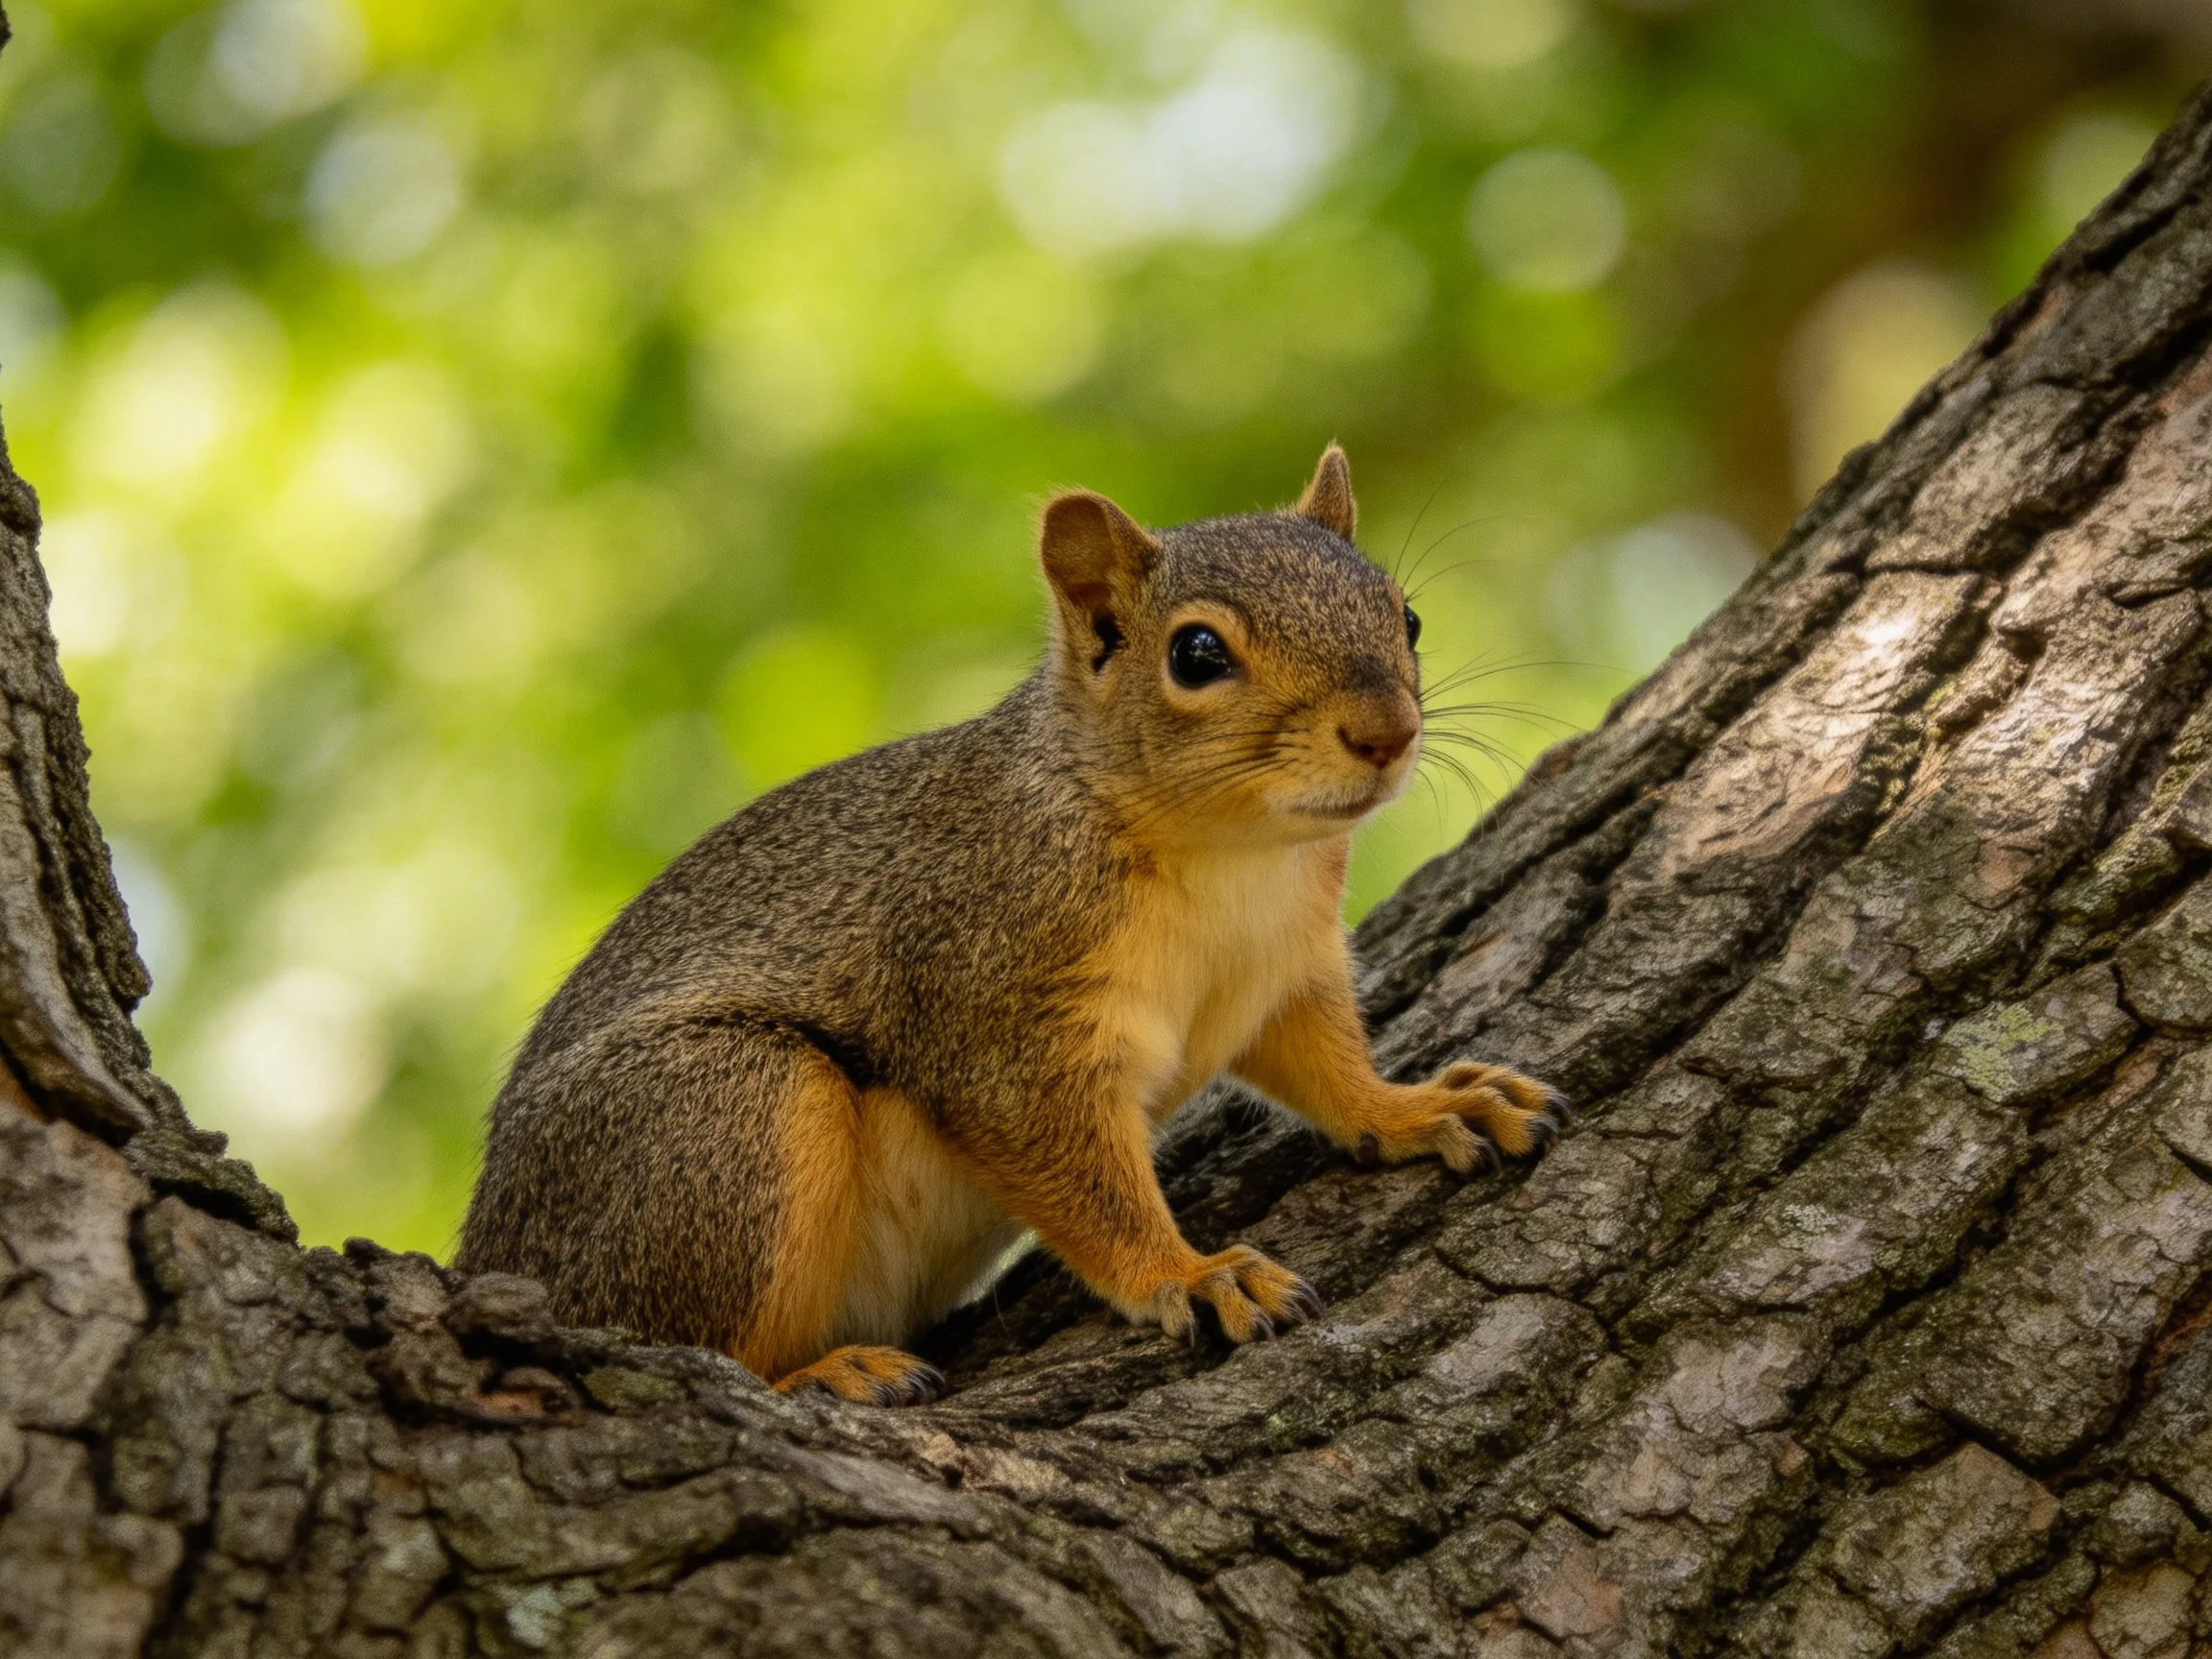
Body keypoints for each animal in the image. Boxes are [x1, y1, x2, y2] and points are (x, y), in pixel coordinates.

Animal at [455, 445, 1565, 1405]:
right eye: (1197, 653)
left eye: (1405, 616)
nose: (1387, 734)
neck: (1231, 861)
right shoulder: (997, 1001)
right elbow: (1077, 1173)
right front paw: (1188, 1272)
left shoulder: (1283, 969)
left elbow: (1327, 1067)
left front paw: (1418, 1108)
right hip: (720, 1113)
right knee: (689, 1342)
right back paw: (826, 1372)